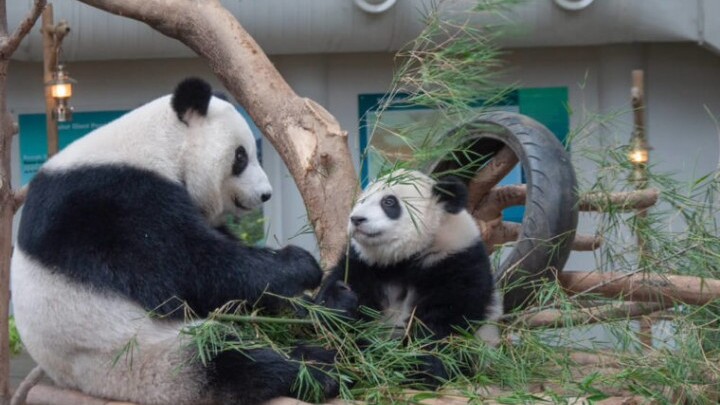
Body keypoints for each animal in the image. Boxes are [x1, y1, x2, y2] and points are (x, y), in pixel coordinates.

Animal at [12, 78, 338, 405]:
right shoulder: (112, 204)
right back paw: (313, 372)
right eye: (241, 156)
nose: (265, 194)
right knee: (226, 355)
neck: (157, 145)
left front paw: (308, 295)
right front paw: (300, 264)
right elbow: (193, 268)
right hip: (141, 359)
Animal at [316, 169, 503, 383]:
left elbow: (444, 324)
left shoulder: (457, 263)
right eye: (362, 200)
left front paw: (410, 363)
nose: (356, 219)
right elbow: (328, 313)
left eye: (389, 202)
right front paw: (341, 300)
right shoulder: (364, 264)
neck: (402, 260)